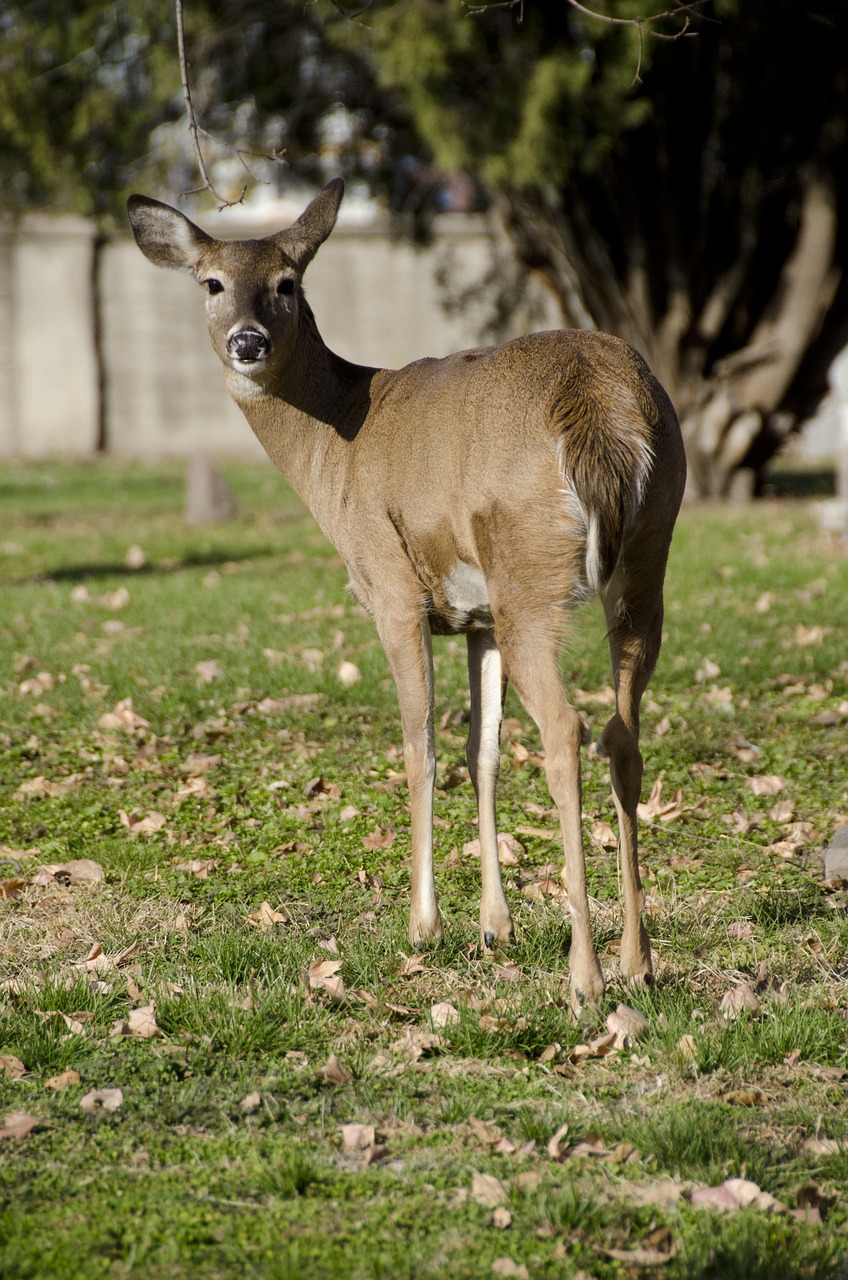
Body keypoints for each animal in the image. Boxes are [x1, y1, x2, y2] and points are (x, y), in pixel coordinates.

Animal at [129, 177, 686, 1008]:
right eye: (212, 283)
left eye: (287, 282)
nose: (248, 342)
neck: (334, 445)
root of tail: (603, 412)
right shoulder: (476, 616)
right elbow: (480, 748)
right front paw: (496, 926)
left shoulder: (391, 591)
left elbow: (418, 741)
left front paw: (424, 925)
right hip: (645, 560)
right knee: (622, 732)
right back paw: (636, 961)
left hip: (529, 569)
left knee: (566, 730)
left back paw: (585, 977)